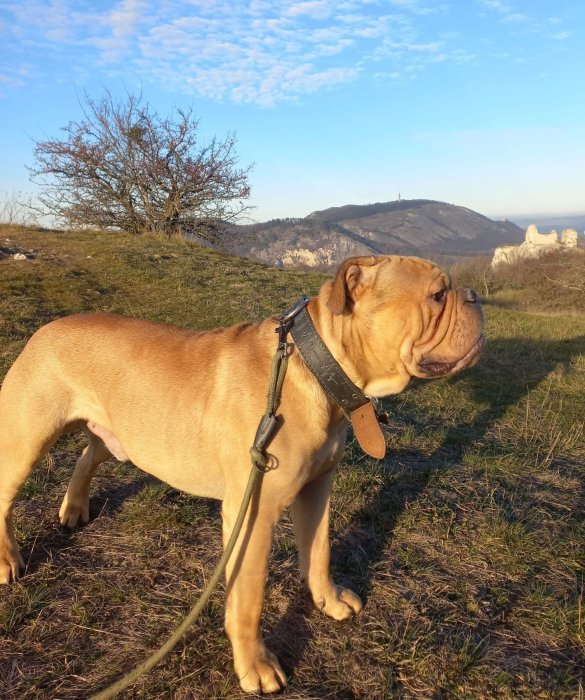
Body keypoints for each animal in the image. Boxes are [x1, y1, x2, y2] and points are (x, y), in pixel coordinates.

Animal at [0, 255, 484, 693]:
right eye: (437, 296)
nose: (476, 295)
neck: (317, 368)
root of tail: (46, 329)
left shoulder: (317, 490)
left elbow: (319, 551)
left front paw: (327, 600)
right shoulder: (254, 513)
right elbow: (249, 600)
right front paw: (256, 665)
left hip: (120, 434)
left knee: (87, 455)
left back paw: (74, 508)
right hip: (26, 440)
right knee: (6, 497)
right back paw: (8, 560)